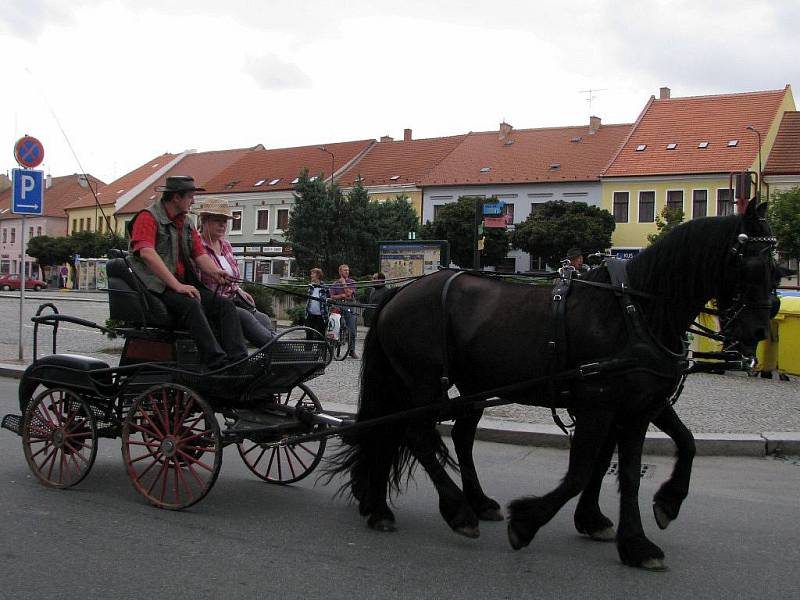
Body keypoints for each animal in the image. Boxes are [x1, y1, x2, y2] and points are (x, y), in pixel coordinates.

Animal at [330, 199, 776, 568]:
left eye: (777, 268)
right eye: (748, 264)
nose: (758, 331)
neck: (634, 311)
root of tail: (397, 292)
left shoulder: (640, 405)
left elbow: (662, 454)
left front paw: (639, 526)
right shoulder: (599, 404)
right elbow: (581, 470)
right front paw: (527, 523)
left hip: (460, 384)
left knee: (428, 433)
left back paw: (395, 505)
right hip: (424, 383)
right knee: (416, 434)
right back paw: (457, 512)